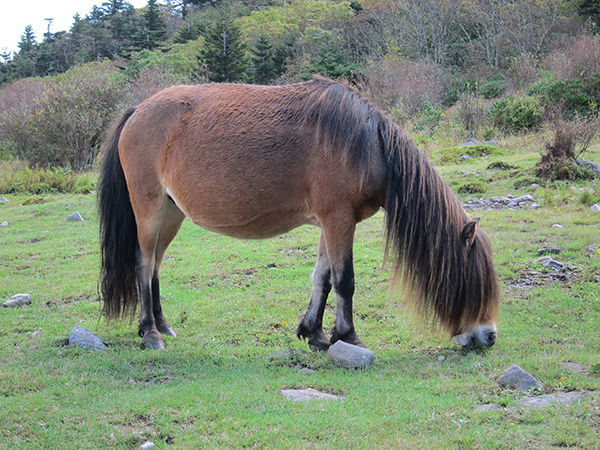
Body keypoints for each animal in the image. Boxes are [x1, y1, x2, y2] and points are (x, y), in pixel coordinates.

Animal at [99, 76, 502, 352]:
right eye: (475, 279)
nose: (489, 336)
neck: (365, 143)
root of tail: (138, 112)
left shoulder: (331, 222)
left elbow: (322, 279)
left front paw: (315, 333)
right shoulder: (338, 219)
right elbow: (344, 280)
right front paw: (349, 336)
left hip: (171, 214)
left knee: (155, 265)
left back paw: (162, 324)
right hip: (150, 210)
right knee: (143, 263)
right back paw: (150, 333)